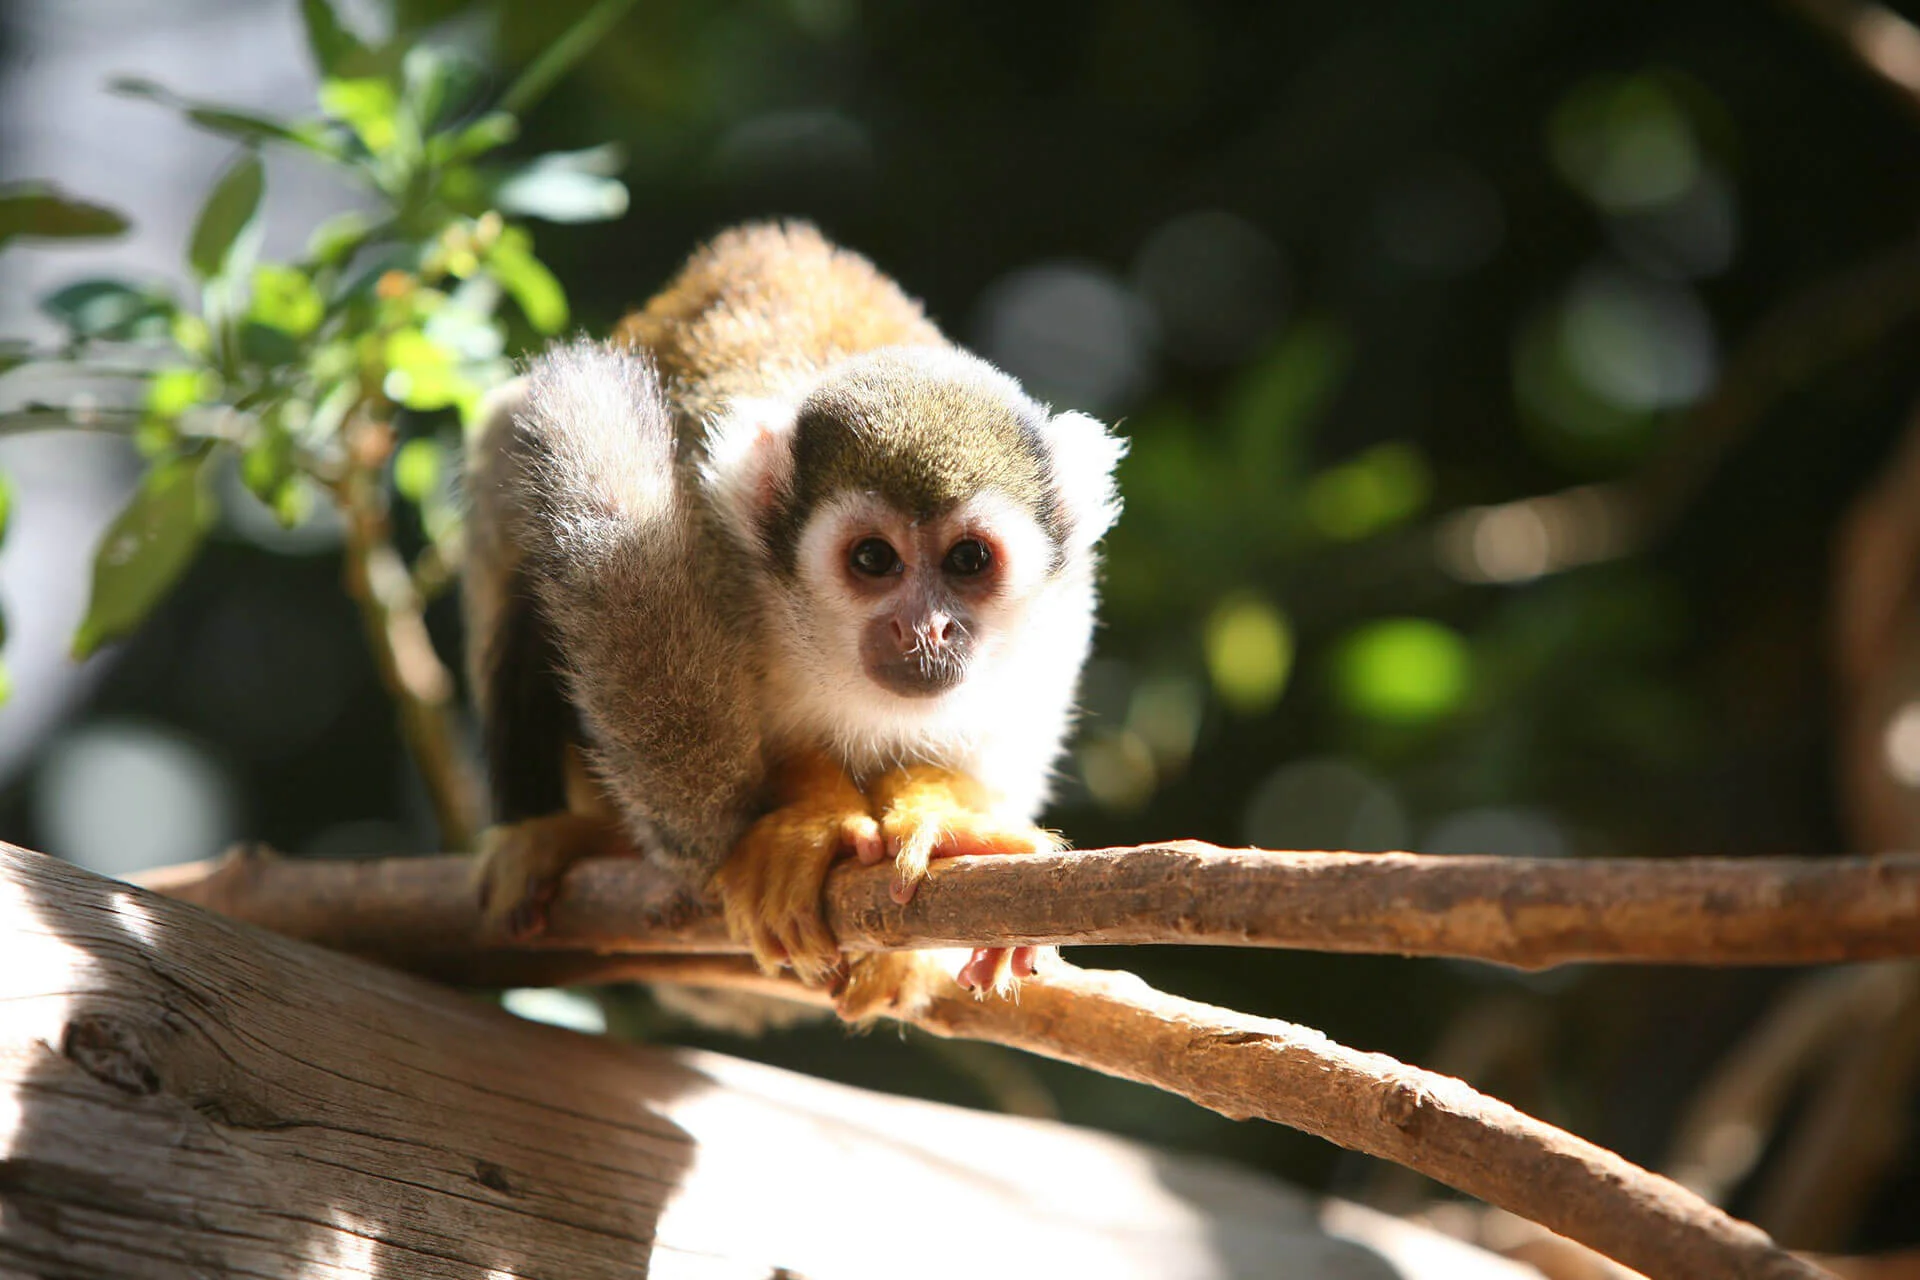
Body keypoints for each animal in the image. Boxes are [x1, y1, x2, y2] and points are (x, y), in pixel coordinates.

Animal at [464, 222, 1125, 1017]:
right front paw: (809, 816)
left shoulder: (1063, 614)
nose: (925, 629)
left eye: (968, 560)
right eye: (873, 559)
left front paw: (940, 815)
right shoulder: (699, 537)